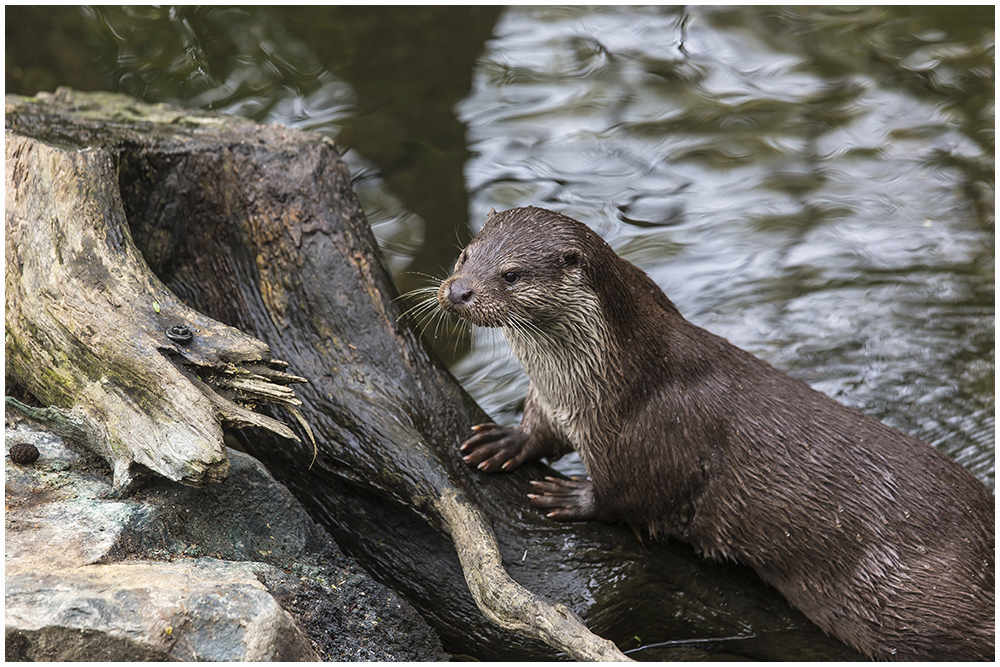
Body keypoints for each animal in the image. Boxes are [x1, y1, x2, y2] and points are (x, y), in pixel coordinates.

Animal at [442, 206, 996, 660]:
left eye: (511, 274)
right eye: (465, 255)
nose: (458, 290)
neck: (610, 383)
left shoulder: (653, 436)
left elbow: (631, 497)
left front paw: (570, 495)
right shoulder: (553, 403)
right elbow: (539, 432)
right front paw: (503, 441)